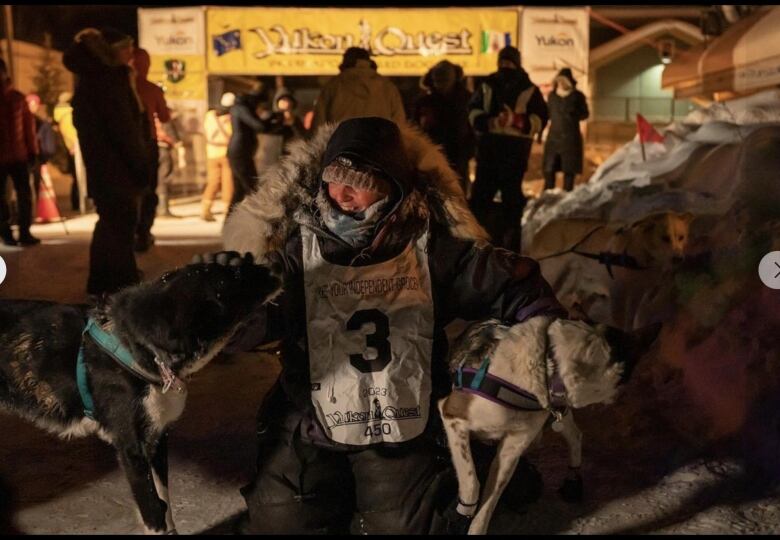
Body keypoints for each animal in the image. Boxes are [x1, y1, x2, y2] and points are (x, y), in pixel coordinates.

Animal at [438, 318, 660, 532]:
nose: (618, 397)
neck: (545, 368)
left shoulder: (512, 448)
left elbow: (488, 504)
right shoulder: (451, 416)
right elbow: (472, 483)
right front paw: (461, 516)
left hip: (559, 415)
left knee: (575, 436)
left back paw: (573, 479)